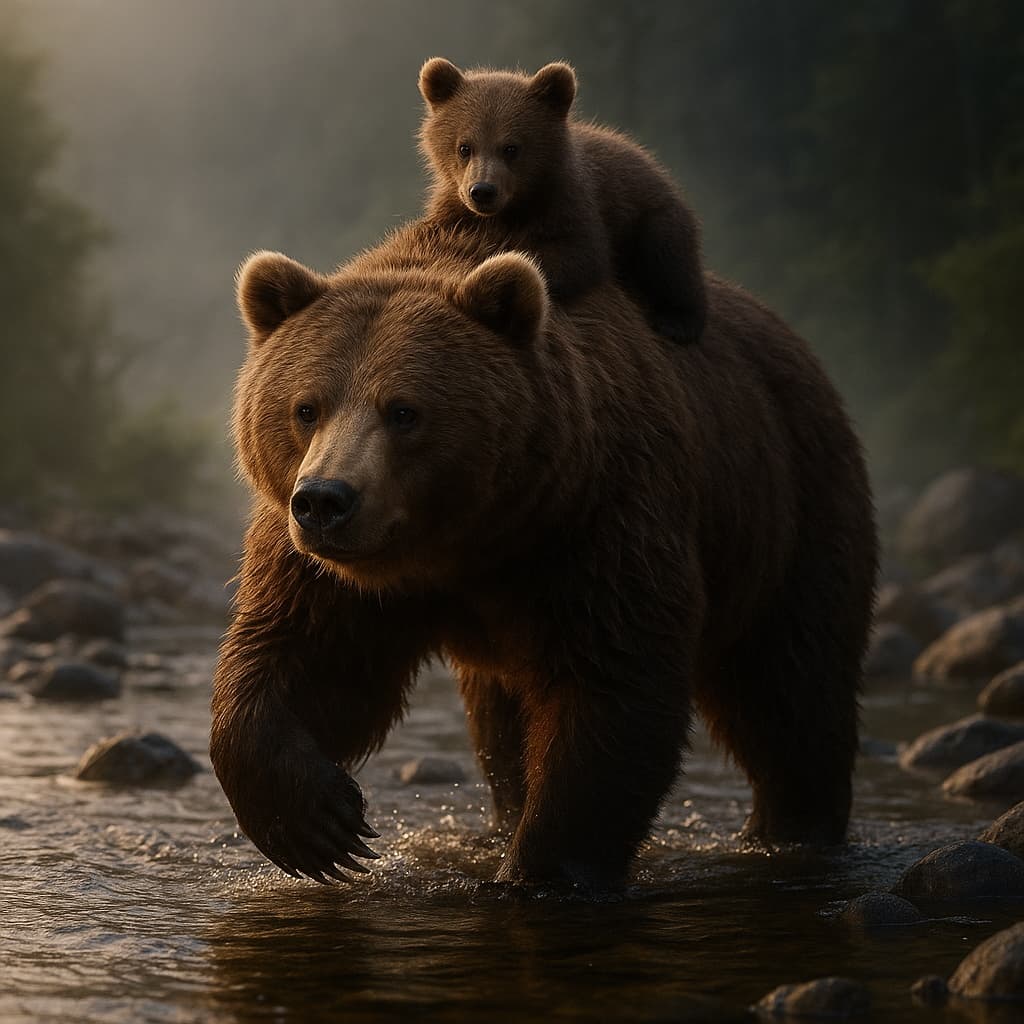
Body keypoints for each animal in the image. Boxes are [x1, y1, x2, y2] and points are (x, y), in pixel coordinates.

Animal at [210, 219, 877, 891]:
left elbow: (609, 684)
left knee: (789, 684)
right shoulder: (336, 572)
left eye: (403, 411)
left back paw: (792, 830)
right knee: (503, 726)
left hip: (790, 507)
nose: (326, 500)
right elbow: (309, 656)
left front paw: (542, 870)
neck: (467, 544)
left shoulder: (596, 522)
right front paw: (317, 825)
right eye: (306, 407)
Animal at [418, 58, 707, 345]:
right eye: (464, 147)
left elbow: (579, 253)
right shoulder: (453, 207)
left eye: (511, 148)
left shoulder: (569, 202)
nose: (483, 190)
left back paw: (678, 320)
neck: (513, 208)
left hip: (652, 214)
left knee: (668, 256)